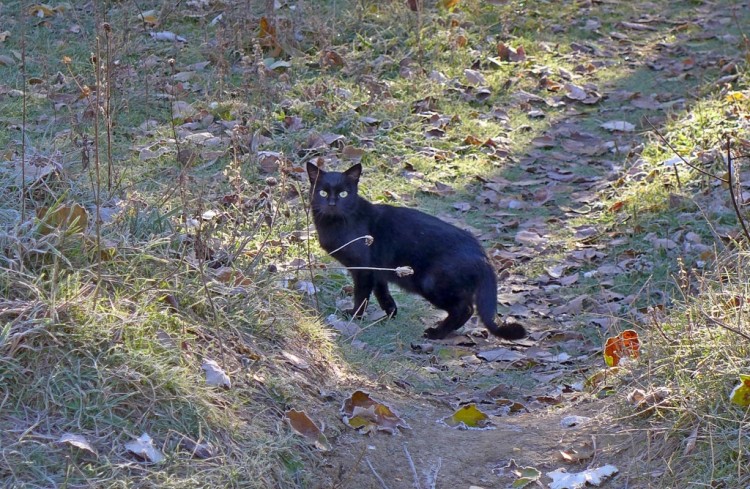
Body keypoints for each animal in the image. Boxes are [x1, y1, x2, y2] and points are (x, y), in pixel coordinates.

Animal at [308, 162, 524, 342]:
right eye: (323, 193)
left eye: (344, 194)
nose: (332, 203)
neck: (336, 224)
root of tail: (482, 254)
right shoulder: (378, 271)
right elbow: (383, 293)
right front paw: (390, 315)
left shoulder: (363, 269)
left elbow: (361, 296)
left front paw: (354, 316)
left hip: (432, 283)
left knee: (465, 309)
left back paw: (435, 333)